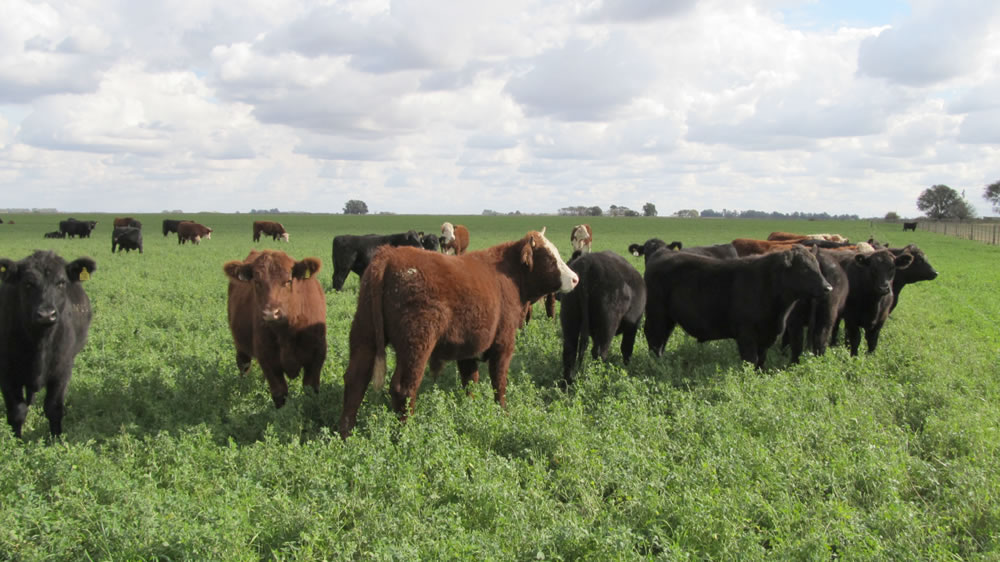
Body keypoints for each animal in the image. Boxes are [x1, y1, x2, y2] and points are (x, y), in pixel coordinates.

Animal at [0, 250, 95, 438]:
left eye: (61, 282)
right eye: (28, 284)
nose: (46, 314)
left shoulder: (63, 370)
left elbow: (53, 408)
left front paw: (56, 440)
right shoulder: (6, 373)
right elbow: (17, 411)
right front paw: (17, 442)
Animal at [223, 249, 324, 406]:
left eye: (288, 281)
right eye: (257, 282)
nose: (271, 313)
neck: (287, 331)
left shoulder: (316, 359)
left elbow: (310, 392)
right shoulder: (268, 361)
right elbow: (279, 395)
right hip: (240, 345)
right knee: (243, 364)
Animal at [342, 225, 584, 436]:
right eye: (549, 258)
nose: (575, 278)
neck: (509, 277)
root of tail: (388, 256)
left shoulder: (468, 349)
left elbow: (470, 382)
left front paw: (471, 410)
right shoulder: (504, 344)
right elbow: (499, 383)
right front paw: (503, 413)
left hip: (364, 335)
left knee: (355, 381)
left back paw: (345, 436)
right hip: (416, 344)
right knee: (403, 388)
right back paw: (402, 436)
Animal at [560, 252, 644, 382]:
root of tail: (587, 263)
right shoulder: (633, 325)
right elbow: (627, 348)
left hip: (570, 318)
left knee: (570, 352)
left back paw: (567, 383)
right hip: (608, 326)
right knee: (599, 352)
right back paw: (599, 377)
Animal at [644, 245, 832, 368]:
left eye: (817, 266)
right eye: (805, 268)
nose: (828, 287)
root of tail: (662, 253)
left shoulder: (767, 336)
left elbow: (760, 362)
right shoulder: (746, 335)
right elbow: (750, 360)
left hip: (669, 318)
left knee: (661, 340)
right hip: (657, 314)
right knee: (654, 339)